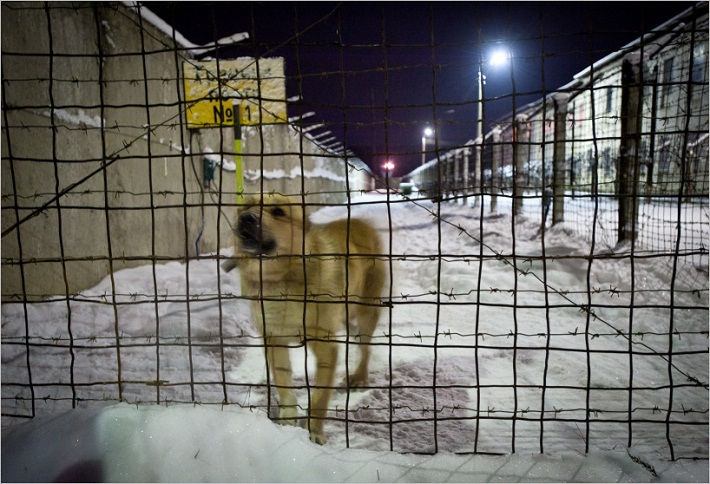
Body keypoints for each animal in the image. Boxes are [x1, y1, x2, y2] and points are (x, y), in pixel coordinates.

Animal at [231, 195, 386, 444]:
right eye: (245, 207)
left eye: (278, 212)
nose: (246, 218)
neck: (280, 279)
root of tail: (361, 222)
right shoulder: (274, 340)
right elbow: (284, 386)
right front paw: (287, 421)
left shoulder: (326, 347)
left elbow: (320, 398)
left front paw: (314, 433)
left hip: (363, 314)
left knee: (366, 348)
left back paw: (360, 377)